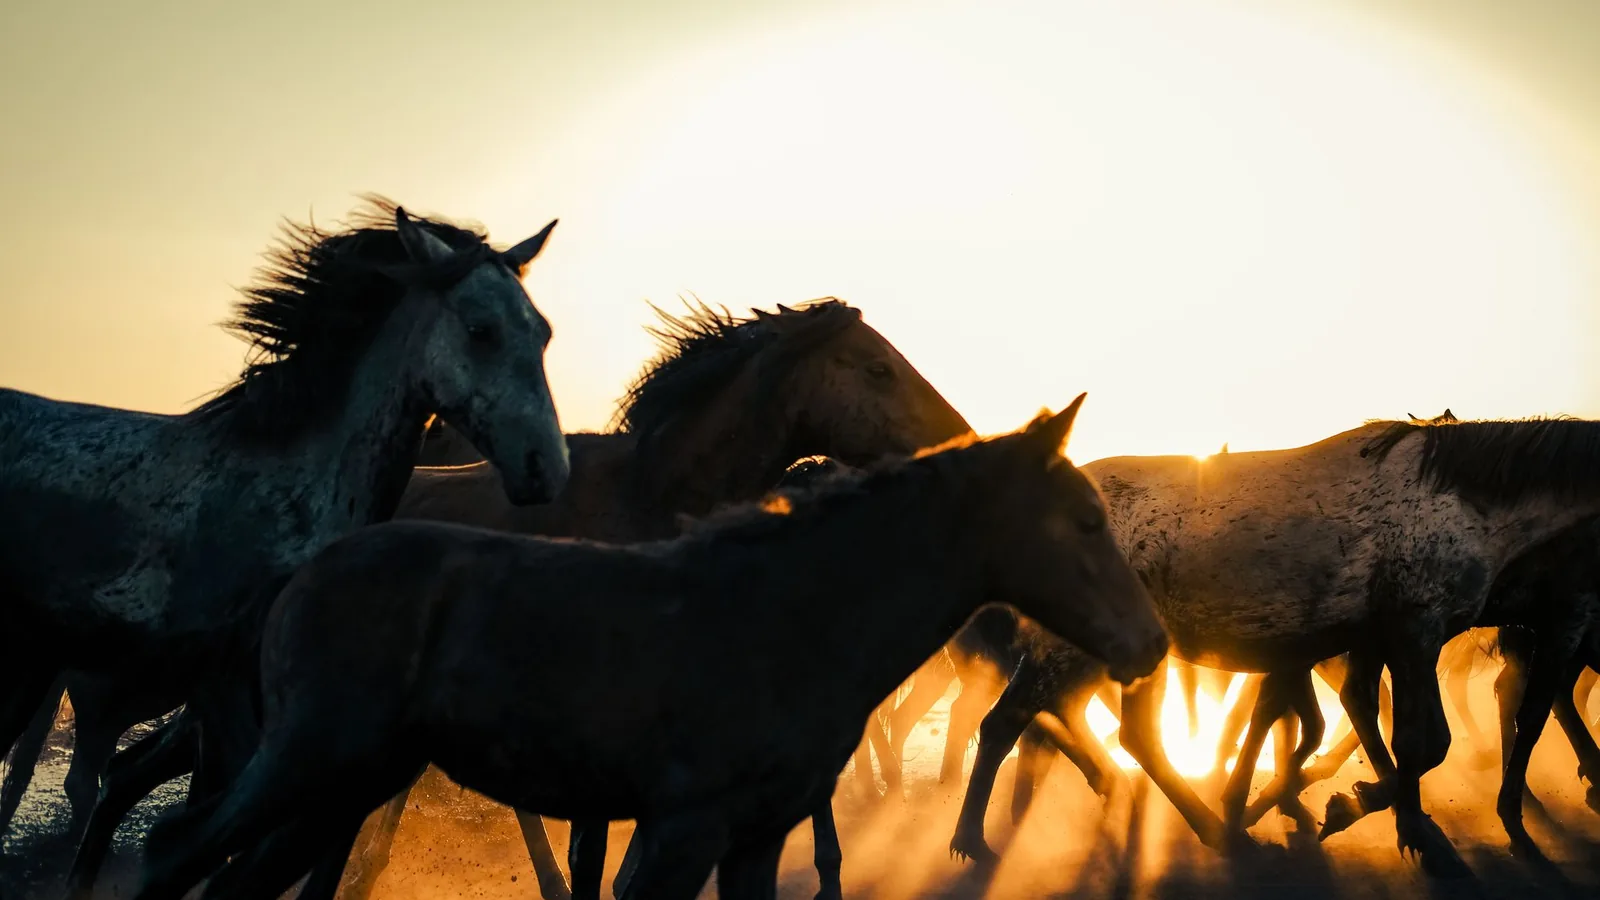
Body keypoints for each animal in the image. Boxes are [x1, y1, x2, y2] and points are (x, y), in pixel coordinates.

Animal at [127, 398, 1170, 900]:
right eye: (1085, 521)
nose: (1151, 643)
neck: (800, 611)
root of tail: (299, 576)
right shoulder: (681, 829)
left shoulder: (751, 838)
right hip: (309, 762)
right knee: (177, 850)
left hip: (343, 783)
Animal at [950, 415, 1600, 878]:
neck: (1466, 500)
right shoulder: (1416, 629)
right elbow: (1422, 740)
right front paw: (1392, 825)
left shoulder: (1378, 637)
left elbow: (1371, 724)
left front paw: (1360, 809)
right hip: (1070, 652)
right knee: (1006, 722)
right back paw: (972, 842)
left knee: (1132, 735)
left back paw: (1212, 826)